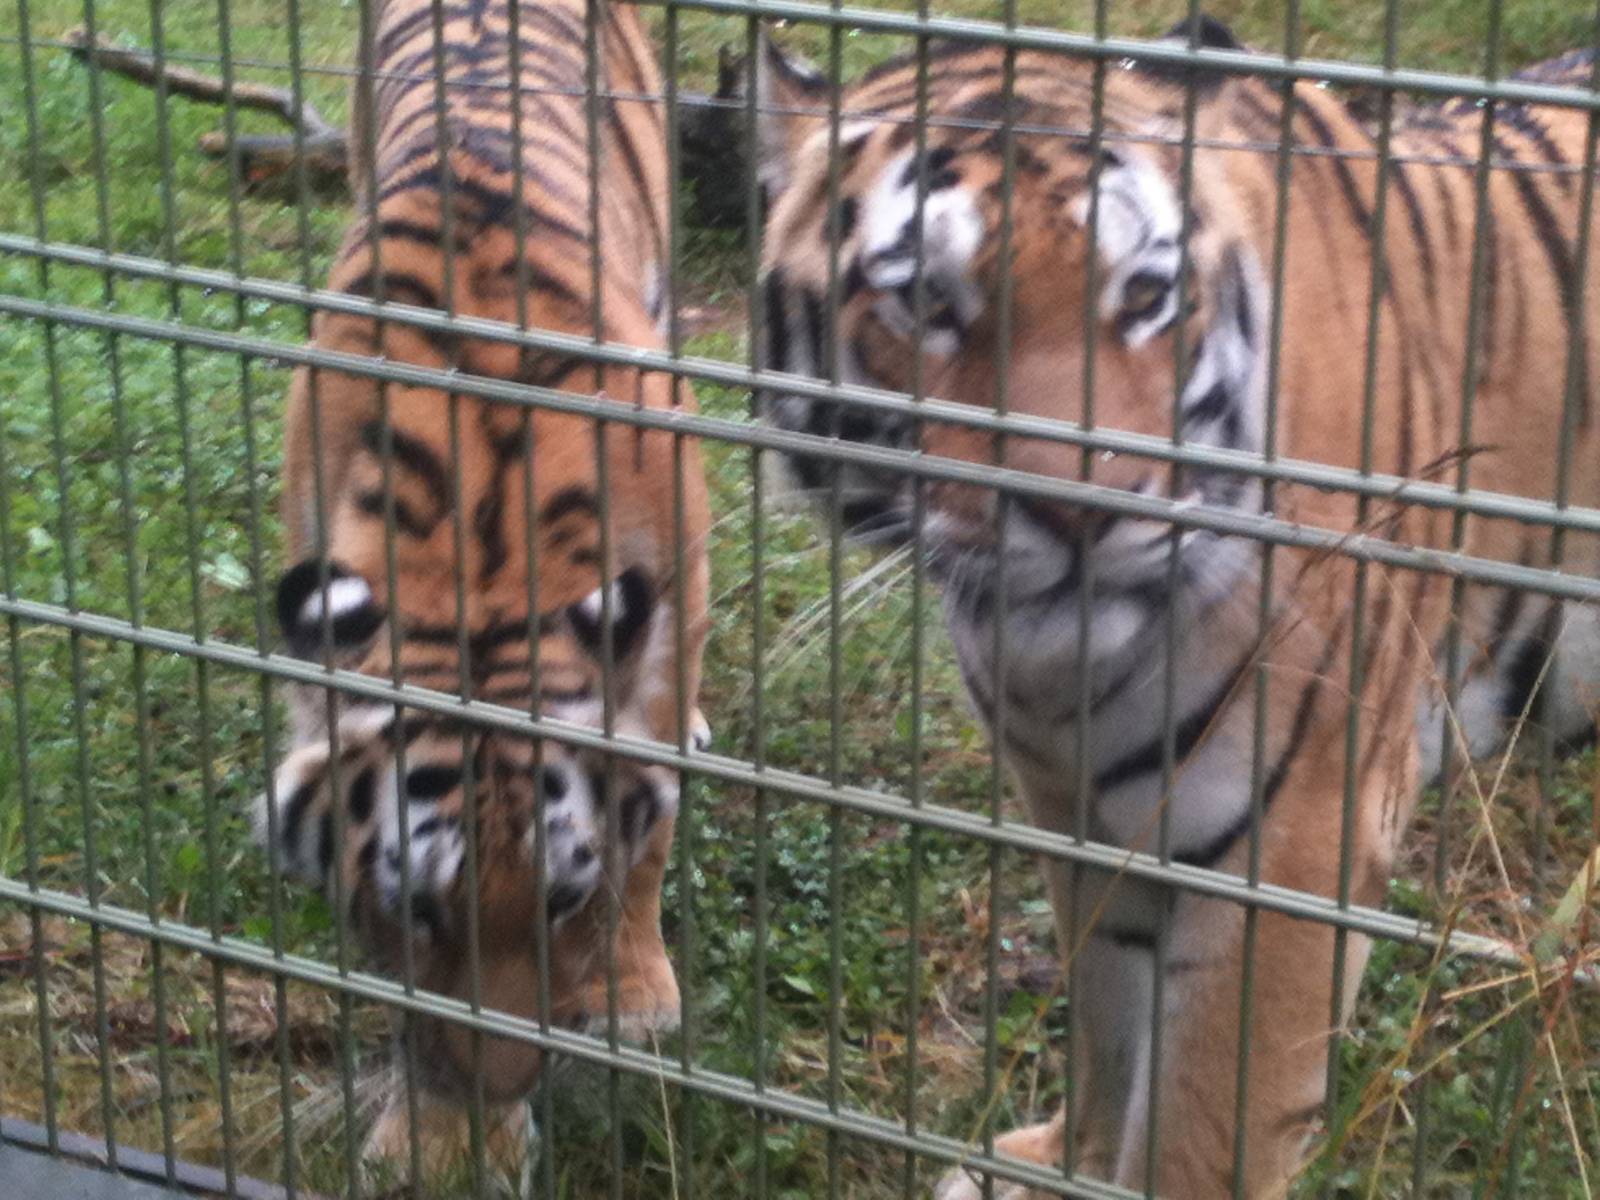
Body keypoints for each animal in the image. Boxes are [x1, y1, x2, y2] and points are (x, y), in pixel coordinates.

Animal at [256, 0, 710, 1178]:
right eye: (413, 913)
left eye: (564, 898)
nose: (502, 1082)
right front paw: (441, 1135)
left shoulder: (673, 588)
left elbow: (651, 828)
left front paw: (631, 987)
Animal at [747, 16, 1600, 1198]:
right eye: (925, 302)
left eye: (1145, 298)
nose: (1082, 507)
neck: (1064, 677)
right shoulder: (1078, 818)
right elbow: (1108, 1021)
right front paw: (1060, 1166)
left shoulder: (1294, 845)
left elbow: (1201, 1133)